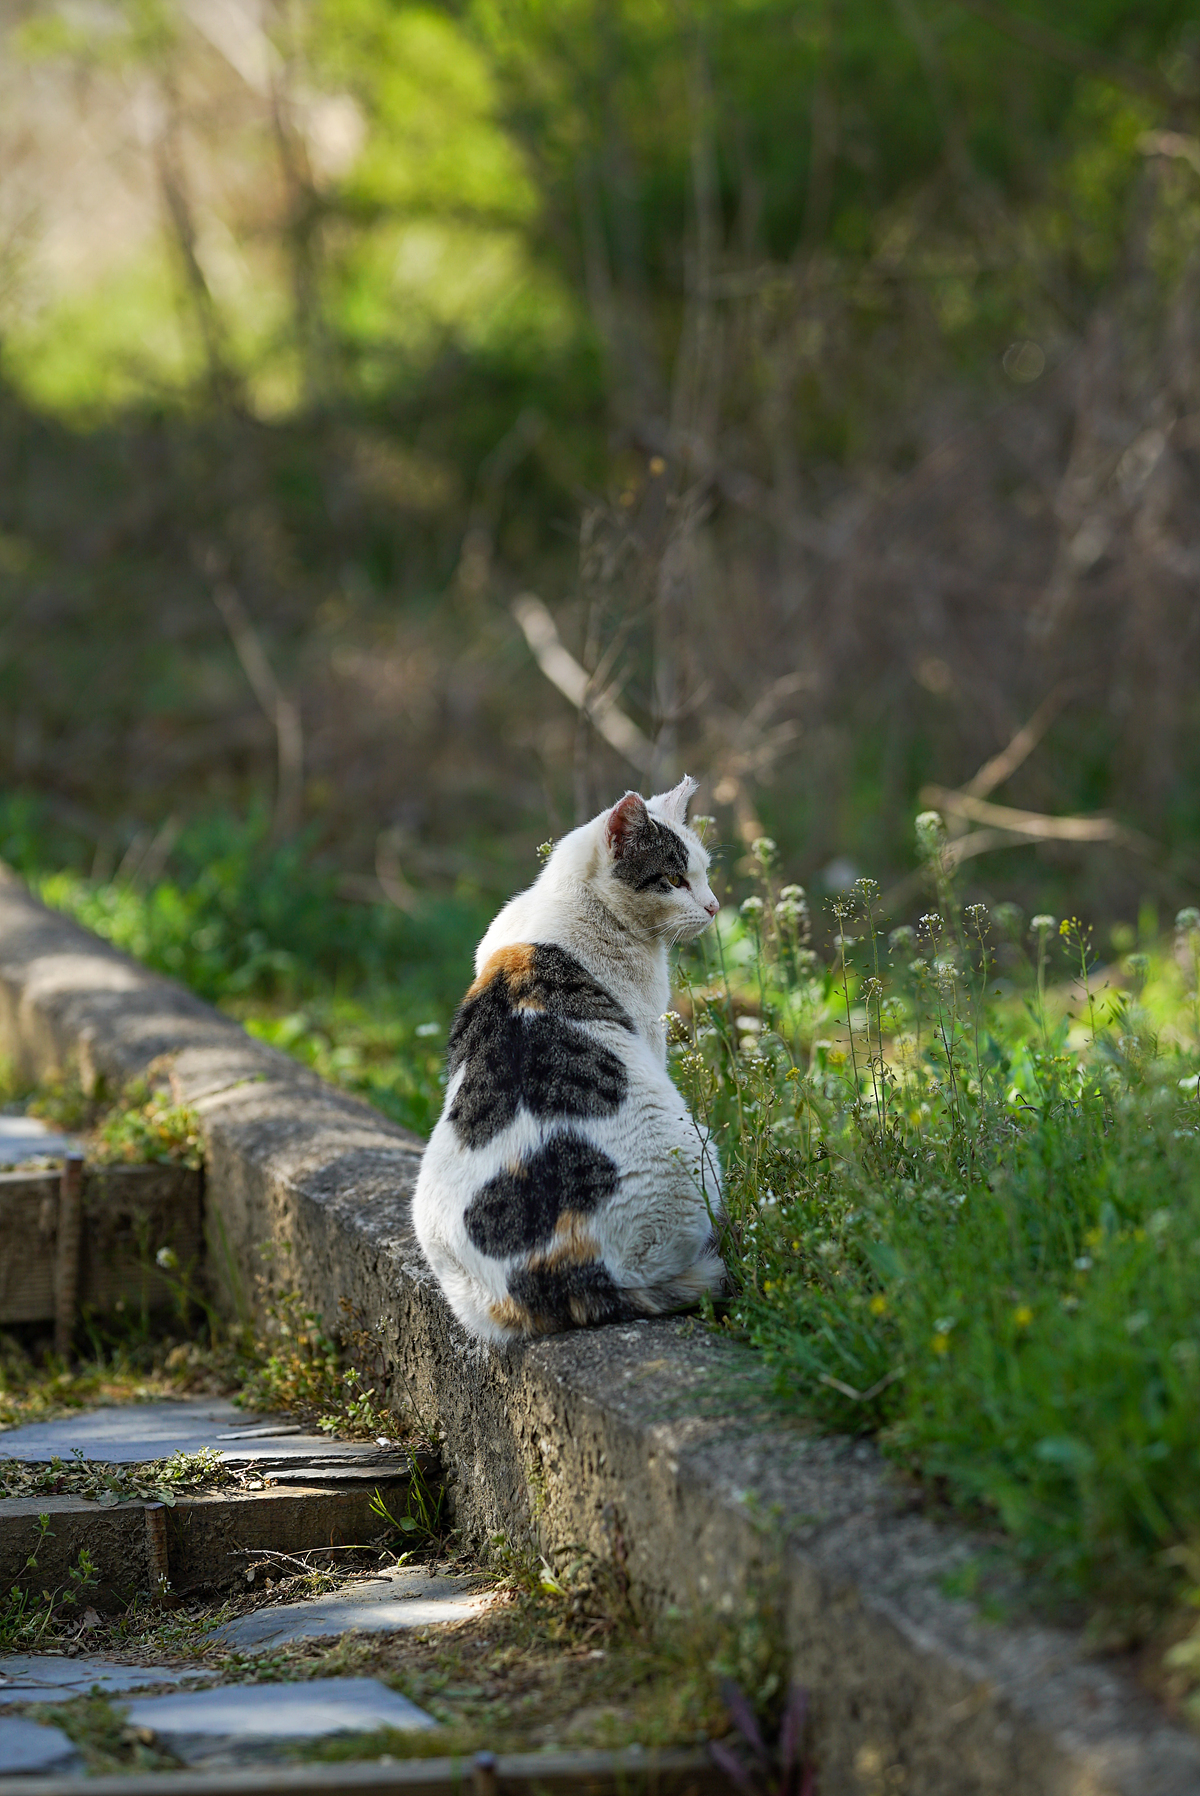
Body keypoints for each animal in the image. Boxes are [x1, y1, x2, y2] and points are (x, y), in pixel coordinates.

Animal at [416, 779, 725, 1343]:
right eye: (674, 879)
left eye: (704, 871)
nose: (714, 907)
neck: (568, 901)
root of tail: (560, 1272)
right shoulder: (651, 1030)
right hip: (699, 1150)